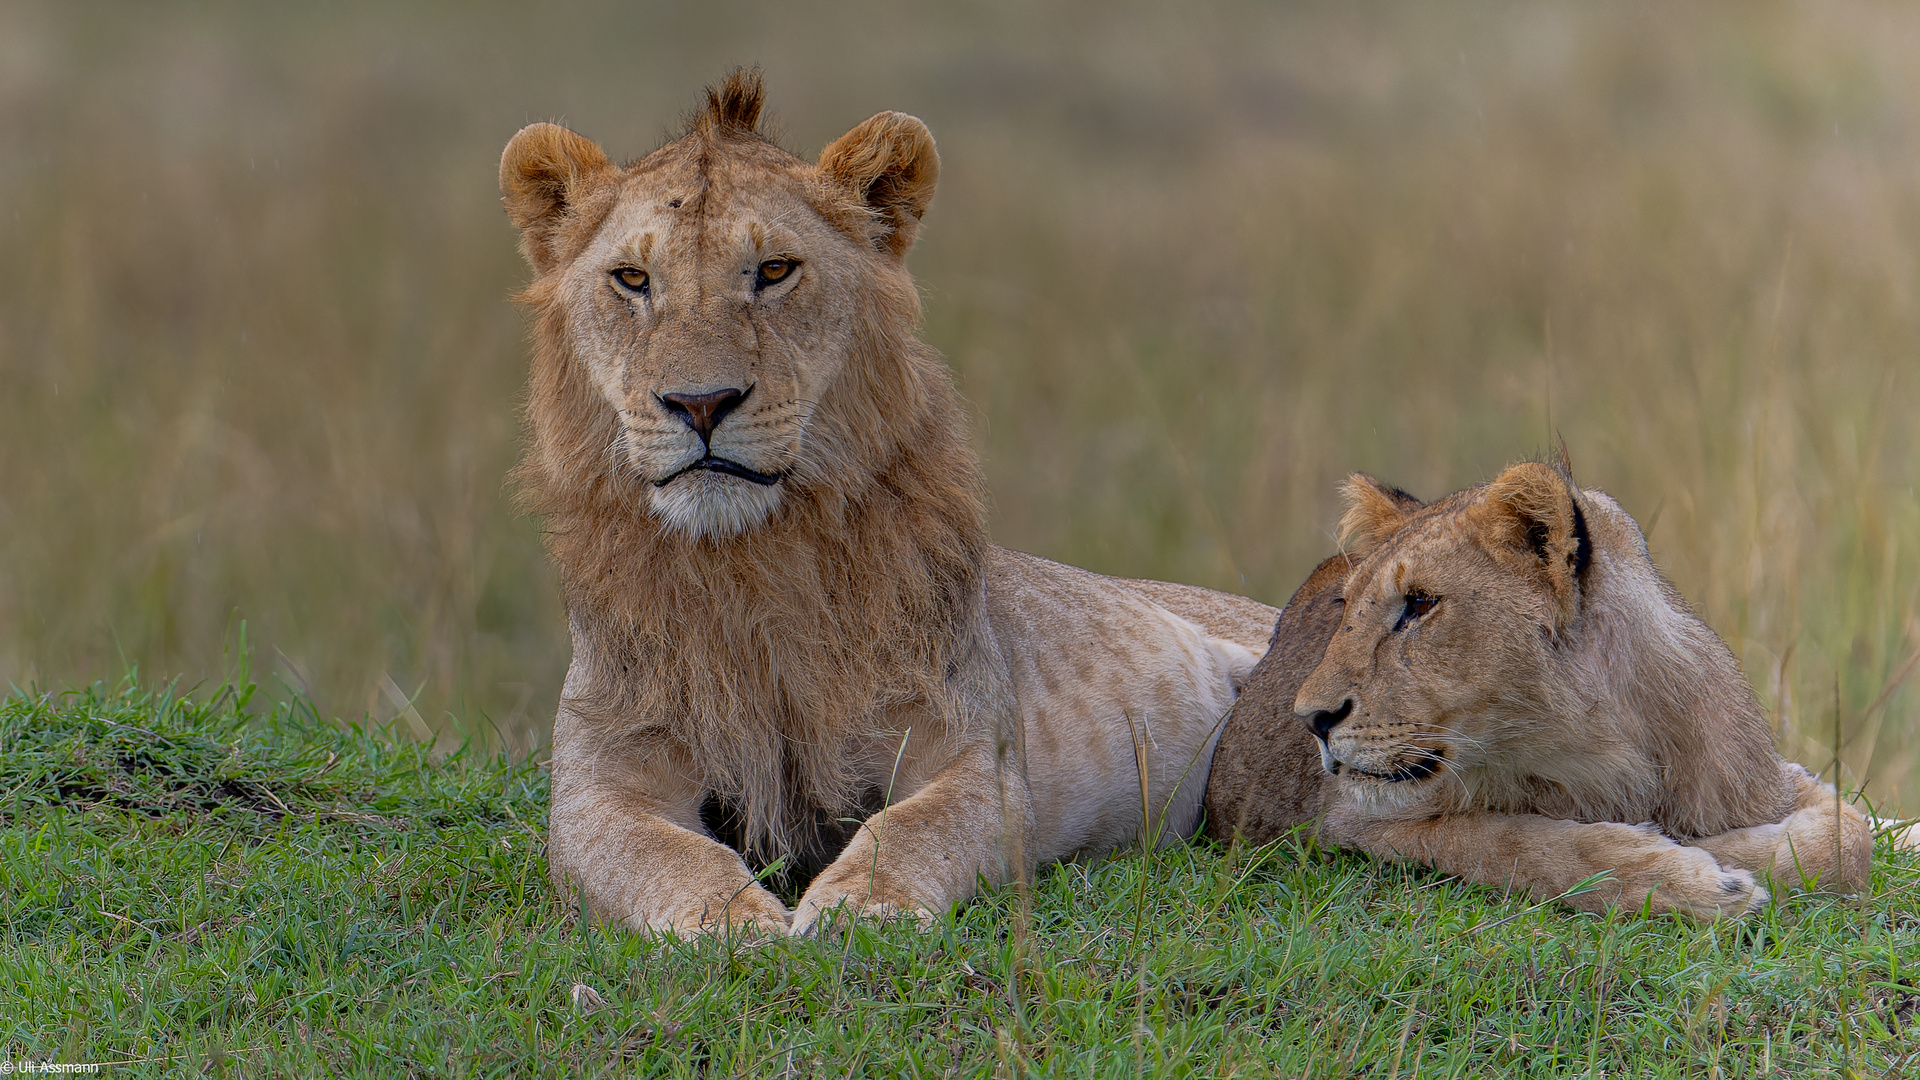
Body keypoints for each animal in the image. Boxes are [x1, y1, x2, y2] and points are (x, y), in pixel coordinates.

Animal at [499, 71, 1274, 933]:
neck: (750, 561)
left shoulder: (974, 752)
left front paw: (858, 910)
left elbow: (909, 828)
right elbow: (658, 851)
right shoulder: (597, 781)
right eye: (632, 280)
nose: (701, 403)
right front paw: (730, 923)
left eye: (775, 270)